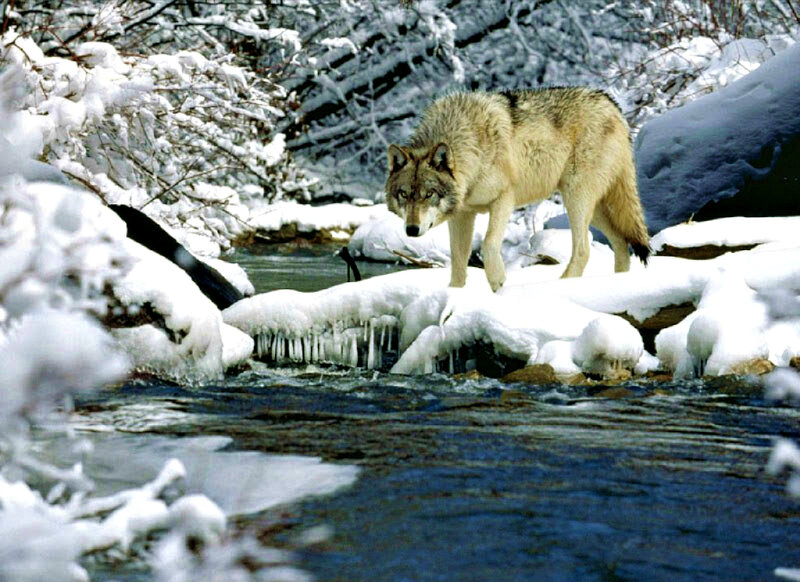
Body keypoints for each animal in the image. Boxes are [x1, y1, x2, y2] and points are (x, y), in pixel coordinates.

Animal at [384, 87, 650, 291]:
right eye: (404, 194)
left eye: (429, 194)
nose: (411, 229)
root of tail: (612, 104)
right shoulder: (462, 214)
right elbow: (458, 261)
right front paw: (453, 295)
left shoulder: (504, 200)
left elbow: (489, 243)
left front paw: (498, 282)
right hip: (592, 208)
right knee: (620, 242)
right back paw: (617, 282)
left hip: (576, 198)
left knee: (584, 250)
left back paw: (561, 285)